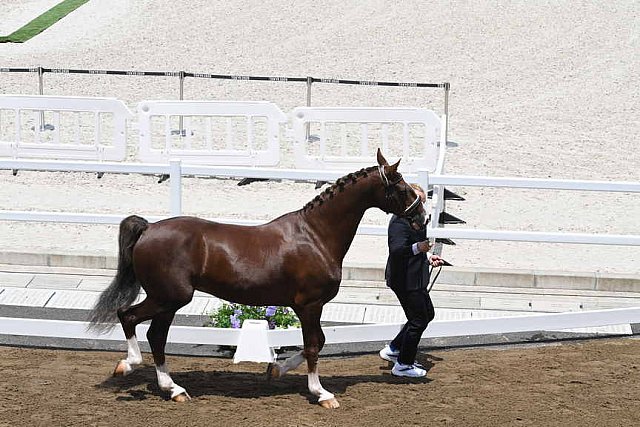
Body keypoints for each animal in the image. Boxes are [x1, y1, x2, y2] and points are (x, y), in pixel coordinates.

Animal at [86, 150, 424, 408]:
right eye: (402, 187)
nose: (421, 218)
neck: (316, 235)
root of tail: (149, 228)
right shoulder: (310, 305)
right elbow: (314, 346)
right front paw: (322, 394)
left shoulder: (309, 307)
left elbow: (317, 343)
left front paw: (276, 370)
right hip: (168, 298)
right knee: (128, 316)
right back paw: (128, 365)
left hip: (168, 302)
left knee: (156, 336)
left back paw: (174, 389)